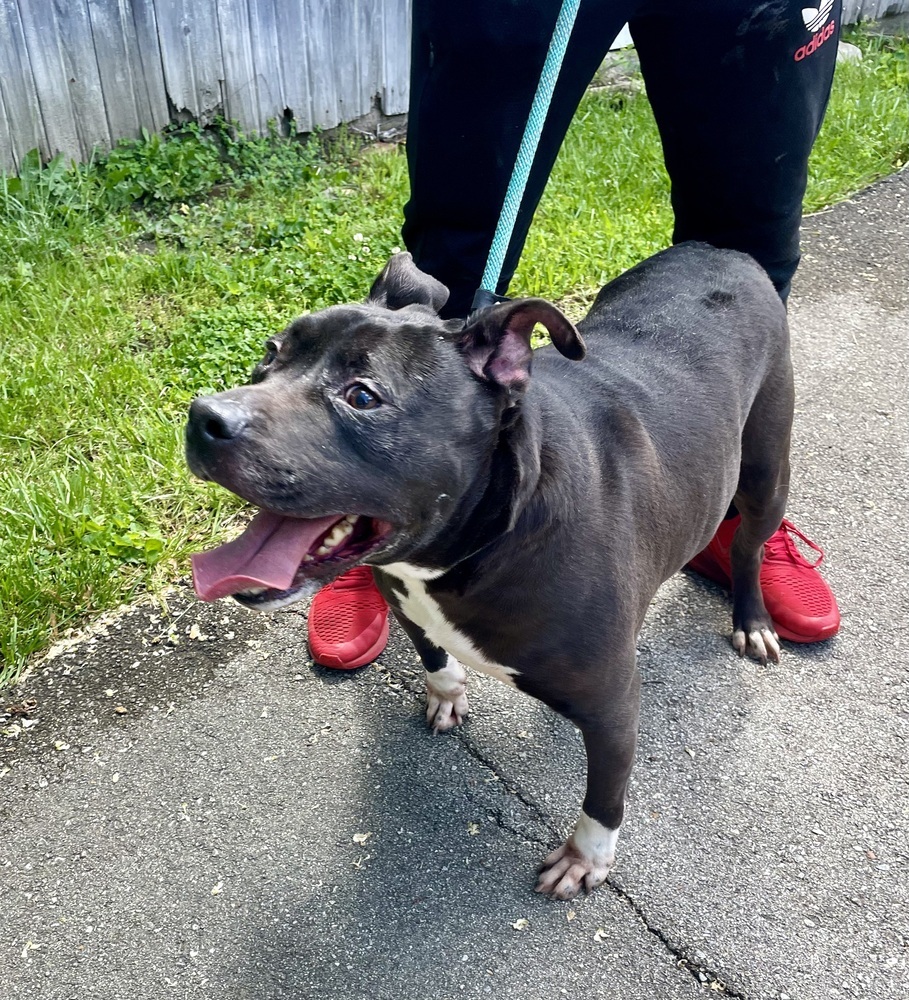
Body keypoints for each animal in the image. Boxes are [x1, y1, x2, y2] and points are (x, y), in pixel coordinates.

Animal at [186, 242, 796, 900]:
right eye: (270, 354)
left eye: (363, 396)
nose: (203, 417)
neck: (483, 536)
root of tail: (721, 250)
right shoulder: (408, 601)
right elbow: (434, 655)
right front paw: (447, 693)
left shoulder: (614, 703)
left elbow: (604, 797)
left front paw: (585, 858)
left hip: (766, 471)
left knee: (749, 544)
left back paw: (753, 618)